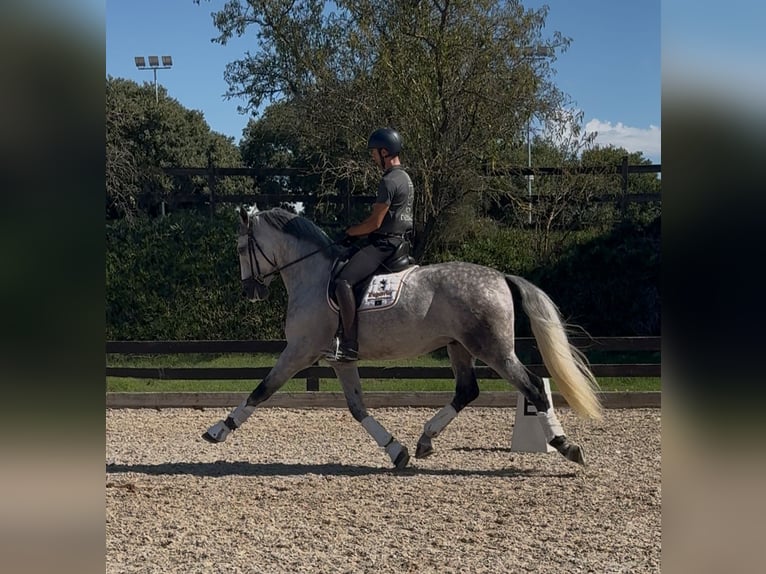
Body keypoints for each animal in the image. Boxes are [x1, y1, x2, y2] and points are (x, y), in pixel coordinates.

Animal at [203, 206, 602, 469]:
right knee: (466, 391)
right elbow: (357, 408)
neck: (312, 275)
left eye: (241, 249)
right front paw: (396, 450)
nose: (250, 291)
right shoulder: (339, 360)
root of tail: (501, 277)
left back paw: (565, 445)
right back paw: (424, 440)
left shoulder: (299, 351)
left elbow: (261, 389)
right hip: (459, 347)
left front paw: (219, 430)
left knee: (533, 387)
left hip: (493, 349)